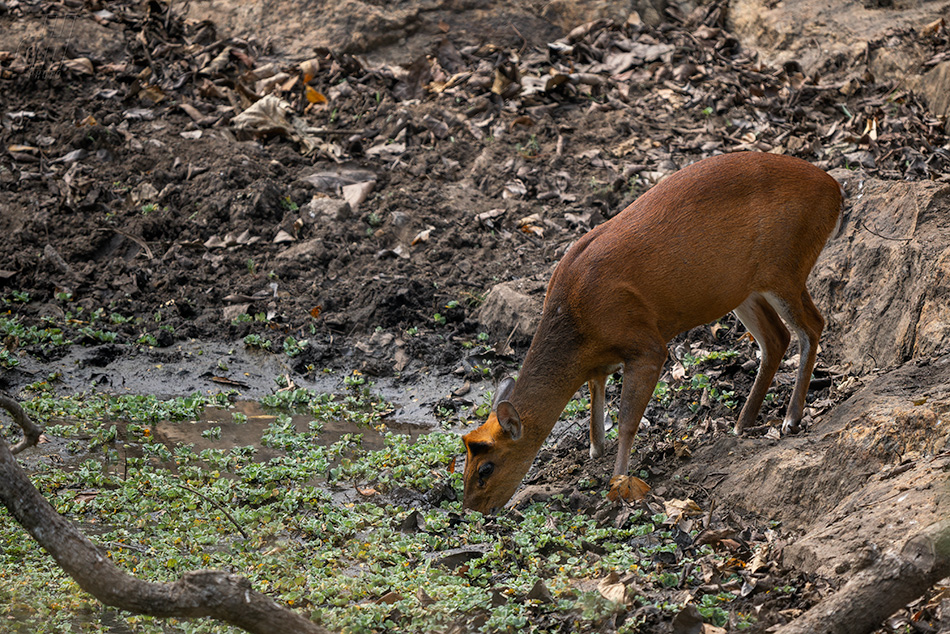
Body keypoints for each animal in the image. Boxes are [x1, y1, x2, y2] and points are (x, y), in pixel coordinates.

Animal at [464, 151, 844, 512]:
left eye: (486, 468)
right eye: (464, 463)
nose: (471, 510)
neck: (576, 321)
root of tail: (835, 191)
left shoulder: (647, 345)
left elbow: (627, 420)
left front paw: (618, 480)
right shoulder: (600, 361)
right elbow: (595, 399)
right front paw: (596, 452)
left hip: (786, 266)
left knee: (813, 325)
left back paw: (791, 419)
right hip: (743, 288)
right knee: (776, 338)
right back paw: (743, 421)